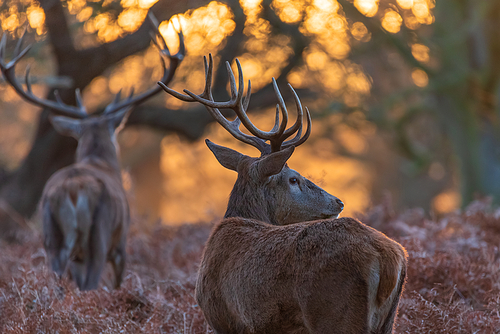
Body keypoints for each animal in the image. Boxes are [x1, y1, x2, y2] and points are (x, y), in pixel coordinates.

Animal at [0, 14, 184, 290]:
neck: (98, 160)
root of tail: (73, 189)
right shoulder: (121, 243)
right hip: (99, 235)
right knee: (91, 283)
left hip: (51, 235)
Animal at [162, 55, 408, 334]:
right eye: (293, 179)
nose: (339, 202)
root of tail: (389, 258)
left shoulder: (223, 320)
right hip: (387, 320)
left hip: (336, 314)